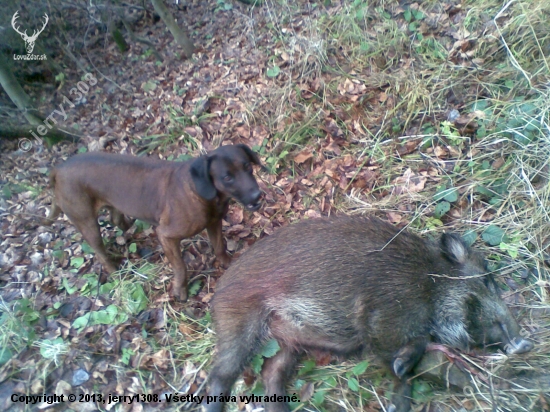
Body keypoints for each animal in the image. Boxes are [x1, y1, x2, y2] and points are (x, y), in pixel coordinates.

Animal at [46, 144, 264, 300]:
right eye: (227, 177)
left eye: (247, 167)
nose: (257, 195)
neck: (200, 190)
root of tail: (58, 169)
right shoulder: (167, 236)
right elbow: (180, 267)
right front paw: (180, 291)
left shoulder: (214, 223)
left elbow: (219, 247)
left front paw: (229, 264)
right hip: (86, 222)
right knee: (100, 252)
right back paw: (116, 272)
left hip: (115, 202)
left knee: (116, 218)